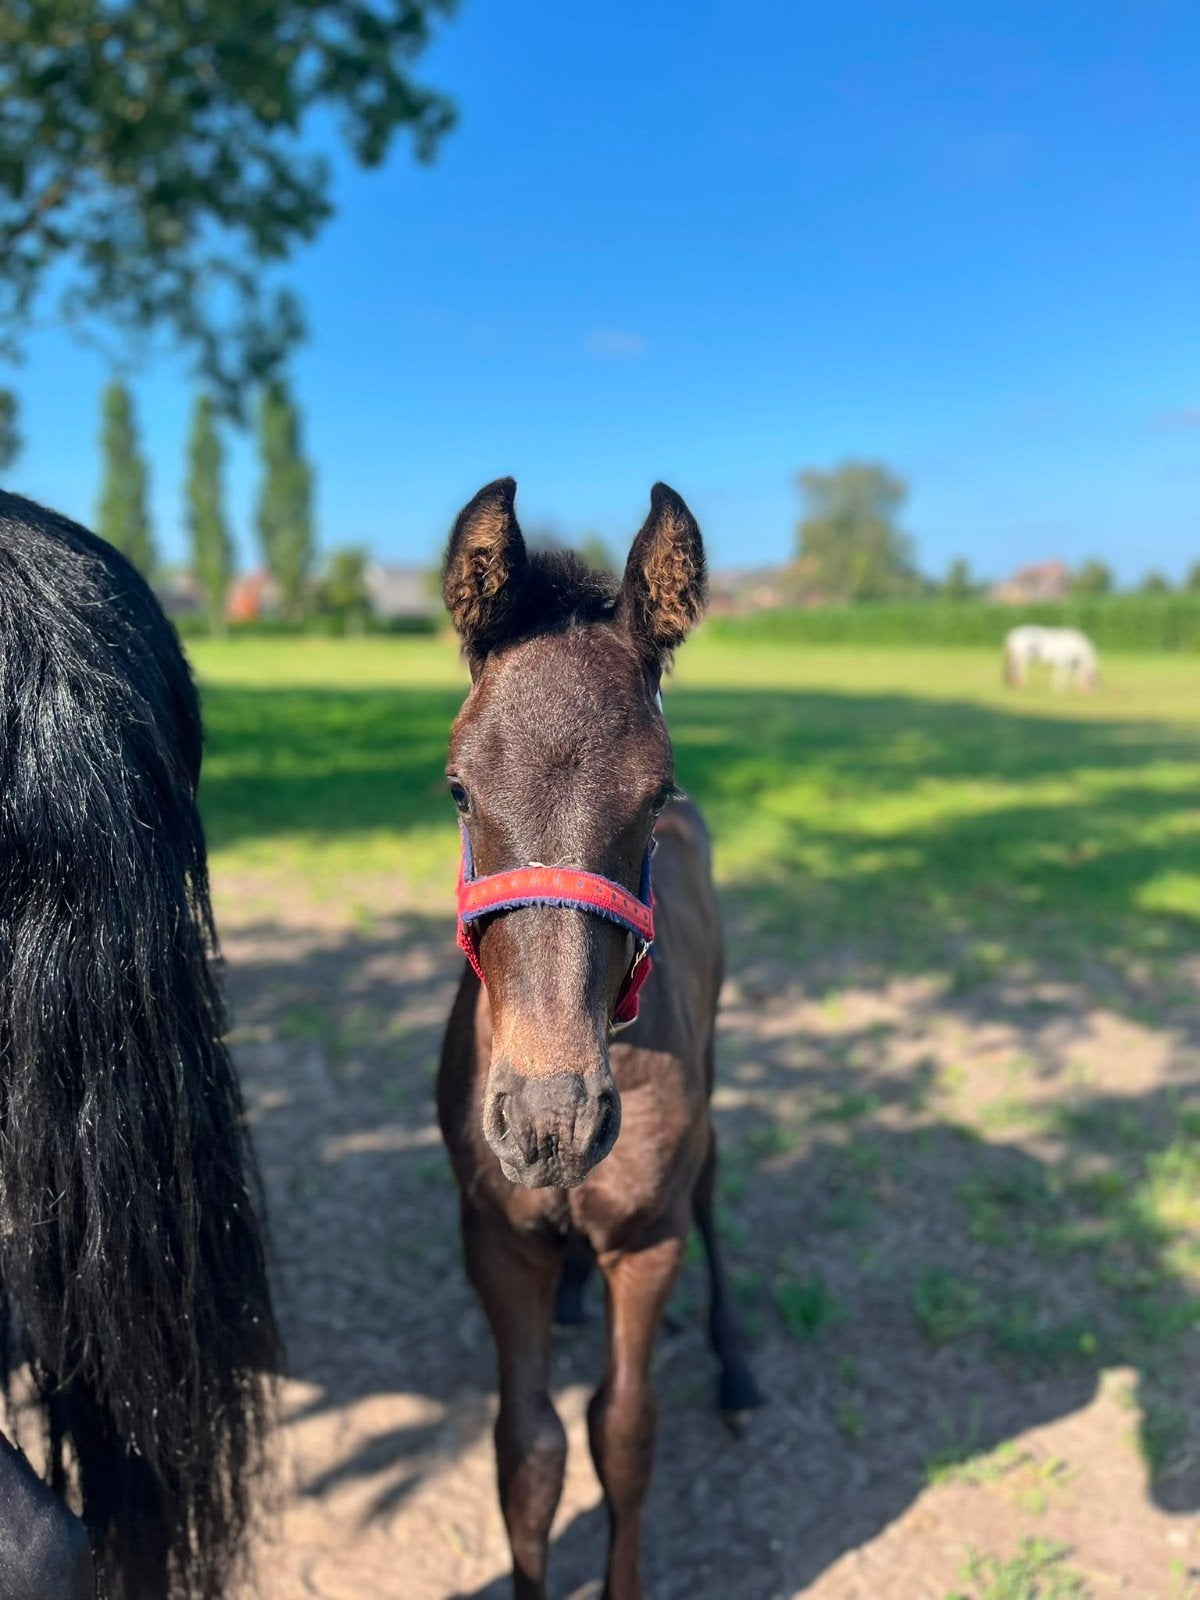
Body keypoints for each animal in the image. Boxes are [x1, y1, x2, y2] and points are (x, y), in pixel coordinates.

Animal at [436, 479, 763, 1600]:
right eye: (458, 786)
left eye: (656, 790)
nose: (552, 1120)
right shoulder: (495, 1238)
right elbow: (526, 1448)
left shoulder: (646, 1236)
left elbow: (623, 1433)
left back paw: (738, 1367)